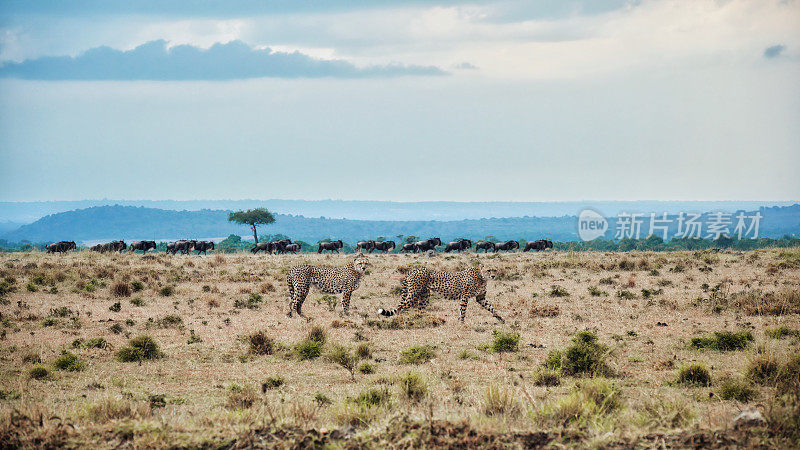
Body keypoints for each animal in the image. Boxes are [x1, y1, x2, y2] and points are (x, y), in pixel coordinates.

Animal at [376, 266, 504, 322]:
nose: (493, 276)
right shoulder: (465, 296)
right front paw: (462, 323)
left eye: (495, 269)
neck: (482, 277)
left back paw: (423, 321)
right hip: (414, 294)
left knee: (419, 309)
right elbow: (463, 311)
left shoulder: (480, 297)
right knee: (401, 308)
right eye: (488, 270)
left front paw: (500, 318)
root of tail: (414, 269)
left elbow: (491, 308)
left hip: (424, 296)